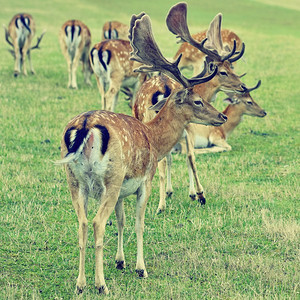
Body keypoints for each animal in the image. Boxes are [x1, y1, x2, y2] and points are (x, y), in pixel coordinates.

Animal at [55, 12, 226, 296]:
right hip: (110, 178)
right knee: (97, 223)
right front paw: (140, 268)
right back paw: (100, 285)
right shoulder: (144, 181)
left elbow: (121, 221)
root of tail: (86, 126)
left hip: (74, 181)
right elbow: (139, 223)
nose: (221, 116)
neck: (154, 139)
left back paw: (80, 284)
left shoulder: (122, 191)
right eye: (198, 101)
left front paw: (120, 261)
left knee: (81, 223)